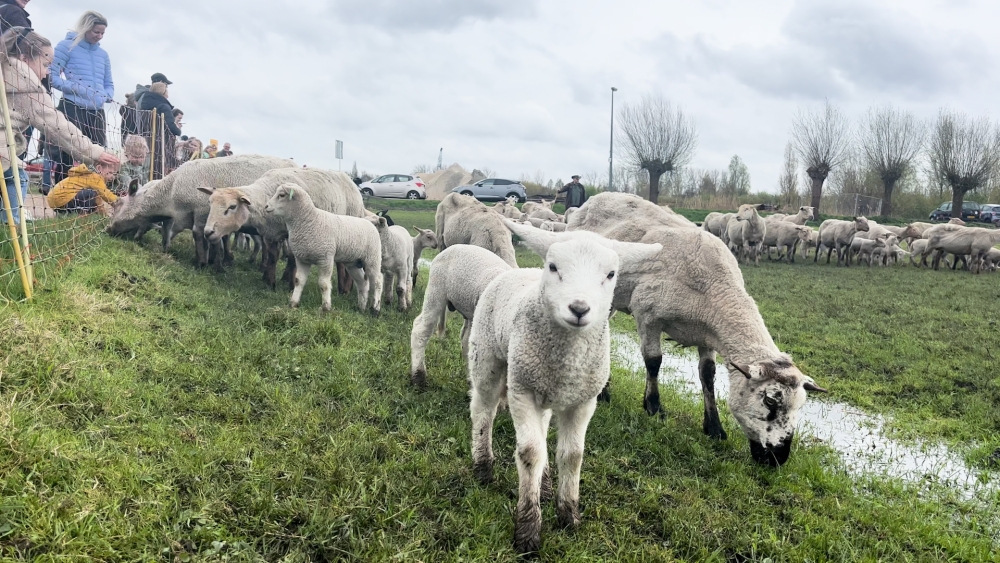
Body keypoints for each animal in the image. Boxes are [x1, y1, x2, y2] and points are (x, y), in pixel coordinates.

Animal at [262, 187, 382, 316]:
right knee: (362, 282)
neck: (309, 221)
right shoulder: (302, 259)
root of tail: (369, 222)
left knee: (377, 281)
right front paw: (293, 303)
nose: (266, 206)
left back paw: (375, 309)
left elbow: (324, 284)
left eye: (282, 195)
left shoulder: (326, 258)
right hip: (353, 262)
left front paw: (325, 307)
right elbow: (298, 281)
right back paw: (361, 308)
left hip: (373, 258)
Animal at [468, 228, 664, 556]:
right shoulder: (522, 391)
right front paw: (528, 531)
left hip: (545, 389)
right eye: (553, 267)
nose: (579, 309)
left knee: (543, 426)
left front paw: (569, 516)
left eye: (611, 274)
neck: (568, 359)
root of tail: (518, 270)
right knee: (483, 409)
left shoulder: (583, 401)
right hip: (487, 356)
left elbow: (572, 455)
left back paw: (545, 485)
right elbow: (530, 452)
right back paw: (483, 465)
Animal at [508, 220, 828, 468]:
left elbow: (708, 375)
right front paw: (653, 407)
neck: (716, 289)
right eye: (770, 402)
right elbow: (653, 362)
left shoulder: (707, 335)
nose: (778, 460)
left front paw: (714, 427)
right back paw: (605, 392)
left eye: (800, 407)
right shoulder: (648, 315)